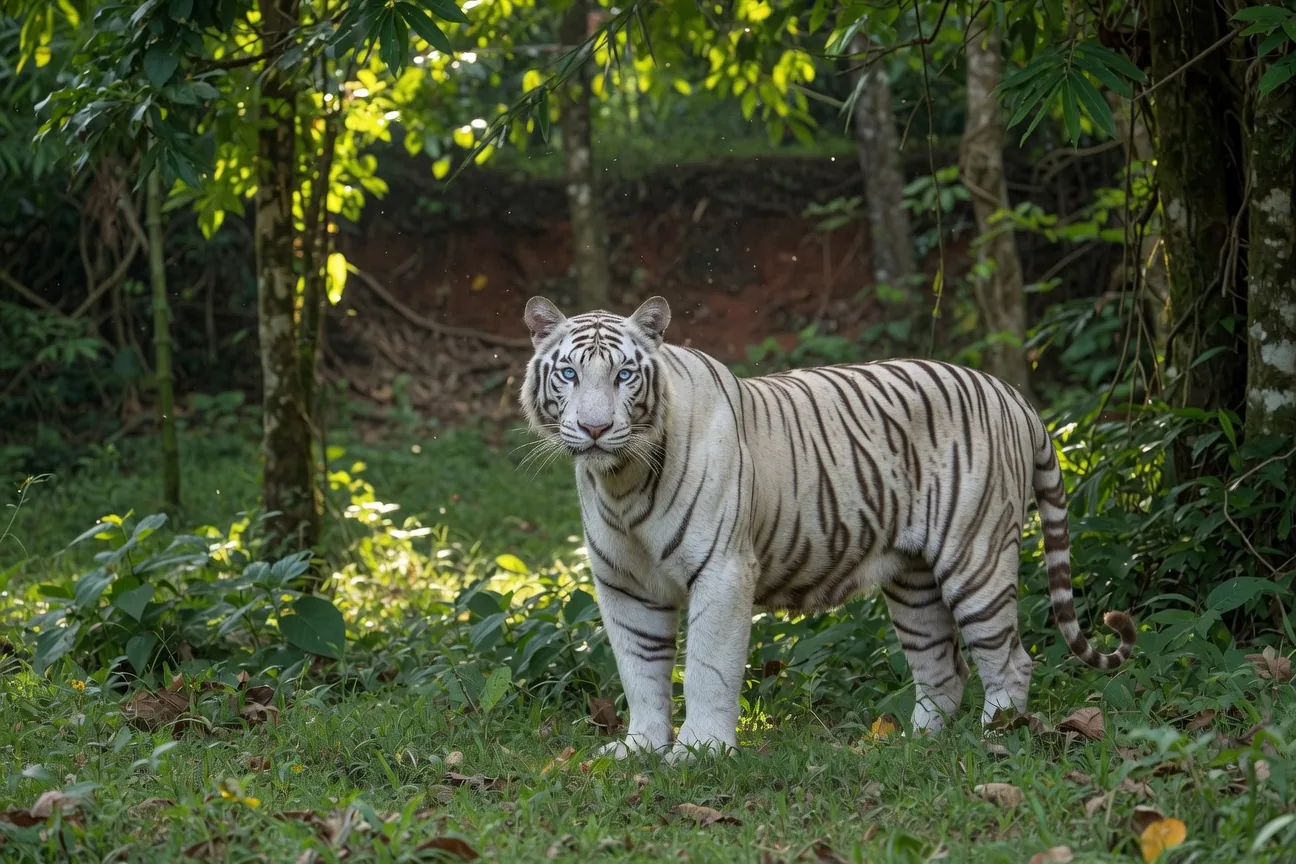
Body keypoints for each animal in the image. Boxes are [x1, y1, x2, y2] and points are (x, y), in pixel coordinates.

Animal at [519, 295, 1136, 761]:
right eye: (569, 373)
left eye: (624, 375)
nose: (595, 429)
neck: (620, 482)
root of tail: (1013, 395)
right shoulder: (624, 584)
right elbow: (640, 671)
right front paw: (640, 750)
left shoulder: (722, 570)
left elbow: (706, 669)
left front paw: (699, 752)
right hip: (914, 581)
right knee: (943, 666)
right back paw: (913, 746)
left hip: (976, 557)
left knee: (1009, 660)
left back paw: (994, 736)